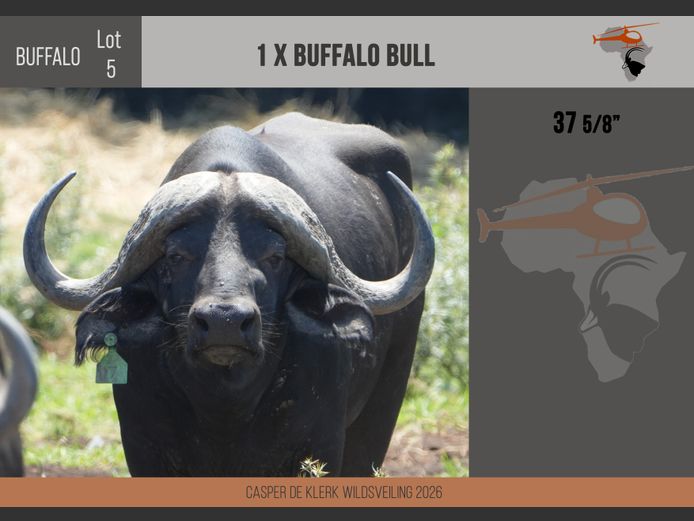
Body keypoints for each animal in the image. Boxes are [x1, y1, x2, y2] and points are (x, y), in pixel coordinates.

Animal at [23, 112, 435, 476]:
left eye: (275, 256)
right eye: (175, 256)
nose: (225, 322)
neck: (225, 405)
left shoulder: (322, 446)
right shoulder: (144, 449)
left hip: (383, 407)